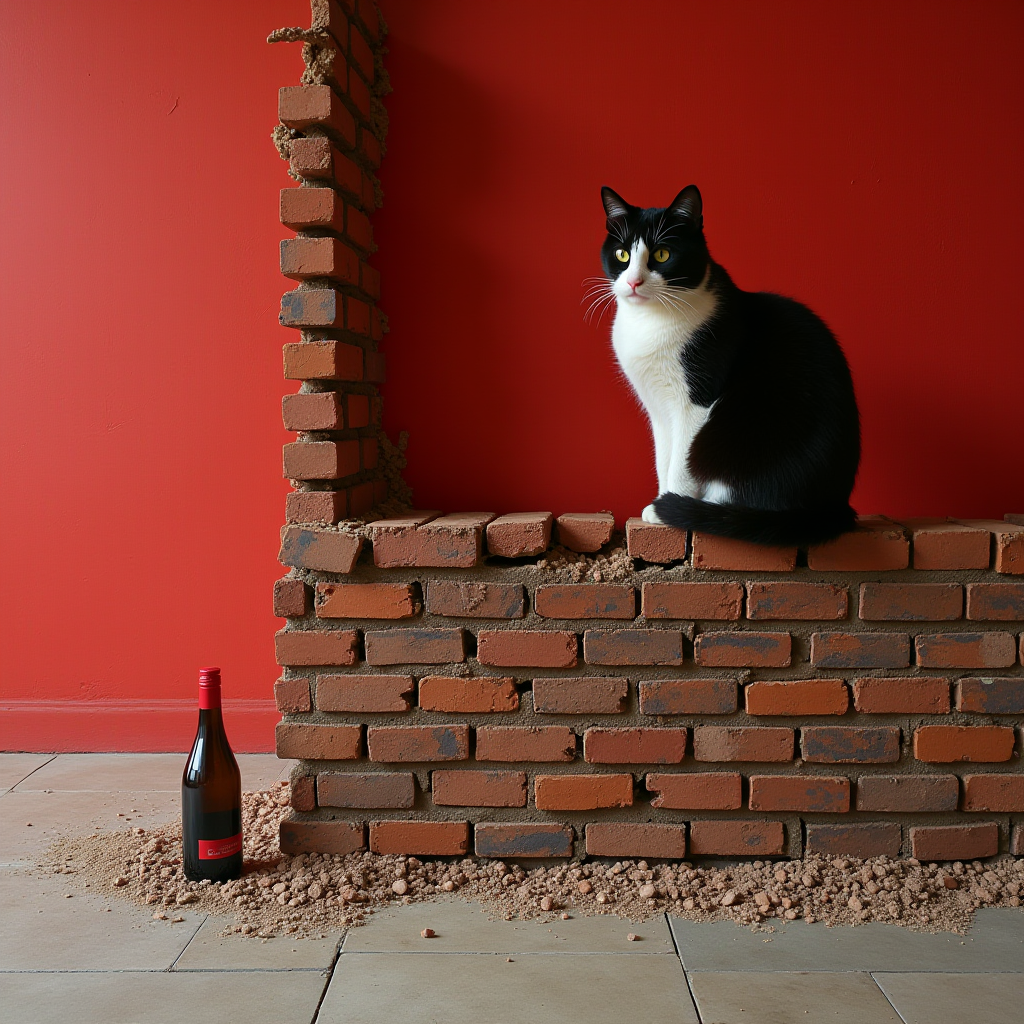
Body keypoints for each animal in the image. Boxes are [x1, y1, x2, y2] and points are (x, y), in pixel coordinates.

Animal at [598, 187, 860, 548]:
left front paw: (668, 510)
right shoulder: (659, 409)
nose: (634, 282)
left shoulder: (696, 400)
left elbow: (681, 461)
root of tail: (834, 507)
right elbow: (664, 457)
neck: (649, 321)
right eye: (622, 255)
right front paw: (662, 502)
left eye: (663, 254)